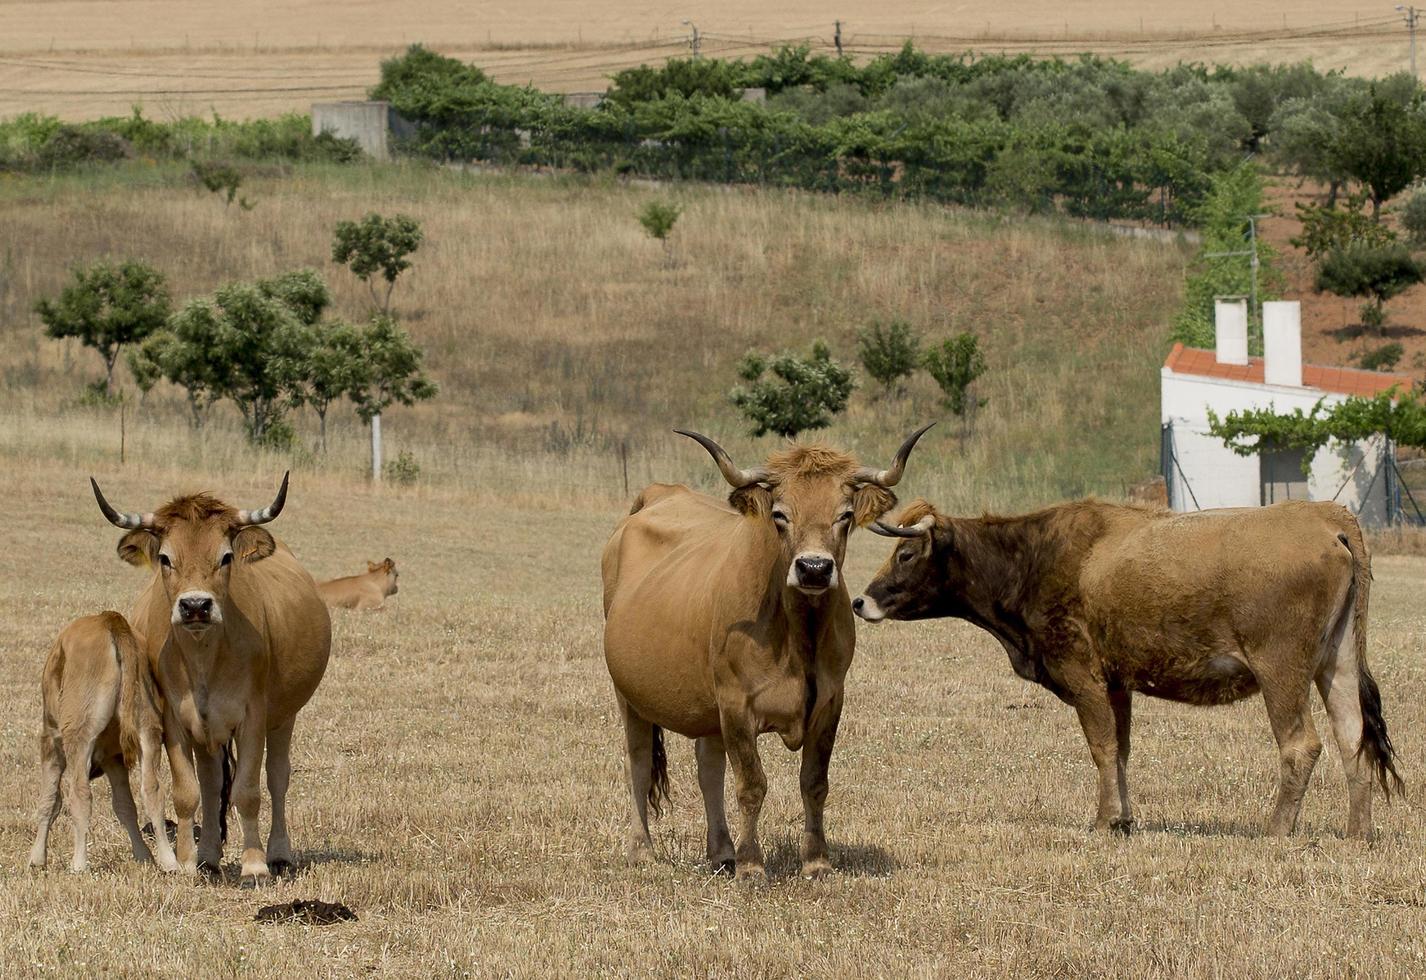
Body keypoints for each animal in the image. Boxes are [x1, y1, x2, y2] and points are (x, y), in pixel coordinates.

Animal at [28, 613, 178, 873]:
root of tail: (107, 619)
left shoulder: (51, 741)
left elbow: (49, 800)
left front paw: (37, 858)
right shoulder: (113, 759)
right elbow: (125, 805)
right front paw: (143, 855)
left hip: (79, 734)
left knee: (80, 794)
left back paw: (79, 864)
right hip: (148, 727)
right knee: (153, 790)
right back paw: (170, 861)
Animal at [91, 473, 330, 884]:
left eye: (225, 556)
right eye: (165, 558)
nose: (195, 606)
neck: (204, 657)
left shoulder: (253, 718)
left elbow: (249, 791)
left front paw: (254, 866)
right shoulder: (175, 721)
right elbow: (188, 792)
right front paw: (188, 862)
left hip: (283, 718)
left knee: (277, 779)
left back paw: (278, 854)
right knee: (211, 781)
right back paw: (209, 857)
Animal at [601, 422, 935, 884]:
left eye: (845, 515)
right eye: (780, 515)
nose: (814, 568)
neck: (797, 637)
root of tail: (658, 495)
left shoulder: (830, 703)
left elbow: (814, 782)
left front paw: (816, 860)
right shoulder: (737, 705)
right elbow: (751, 784)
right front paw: (752, 865)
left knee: (708, 766)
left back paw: (721, 852)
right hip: (628, 692)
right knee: (637, 760)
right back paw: (642, 850)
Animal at [855, 502, 1403, 838]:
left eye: (905, 553)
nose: (860, 600)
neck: (1034, 556)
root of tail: (1324, 514)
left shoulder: (1084, 677)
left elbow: (1100, 747)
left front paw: (1103, 821)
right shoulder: (1118, 684)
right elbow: (1119, 750)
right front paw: (1124, 819)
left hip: (1280, 668)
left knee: (1301, 745)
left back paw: (1275, 831)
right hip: (1337, 662)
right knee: (1353, 737)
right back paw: (1357, 833)